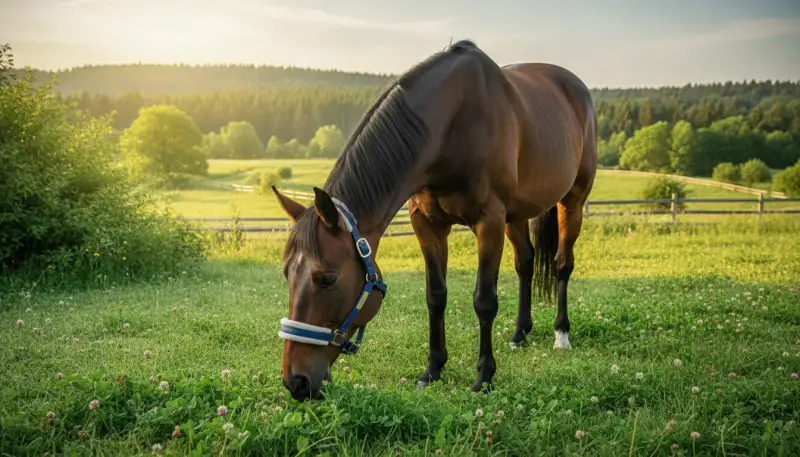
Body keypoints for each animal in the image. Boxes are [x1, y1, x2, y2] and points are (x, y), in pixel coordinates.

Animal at [272, 40, 597, 401]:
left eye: (327, 279)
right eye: (287, 273)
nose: (296, 381)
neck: (452, 125)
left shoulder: (489, 221)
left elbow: (485, 301)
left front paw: (484, 377)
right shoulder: (427, 224)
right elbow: (436, 295)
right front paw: (433, 369)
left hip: (572, 201)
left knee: (562, 263)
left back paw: (561, 334)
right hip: (517, 213)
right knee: (525, 262)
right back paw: (519, 334)